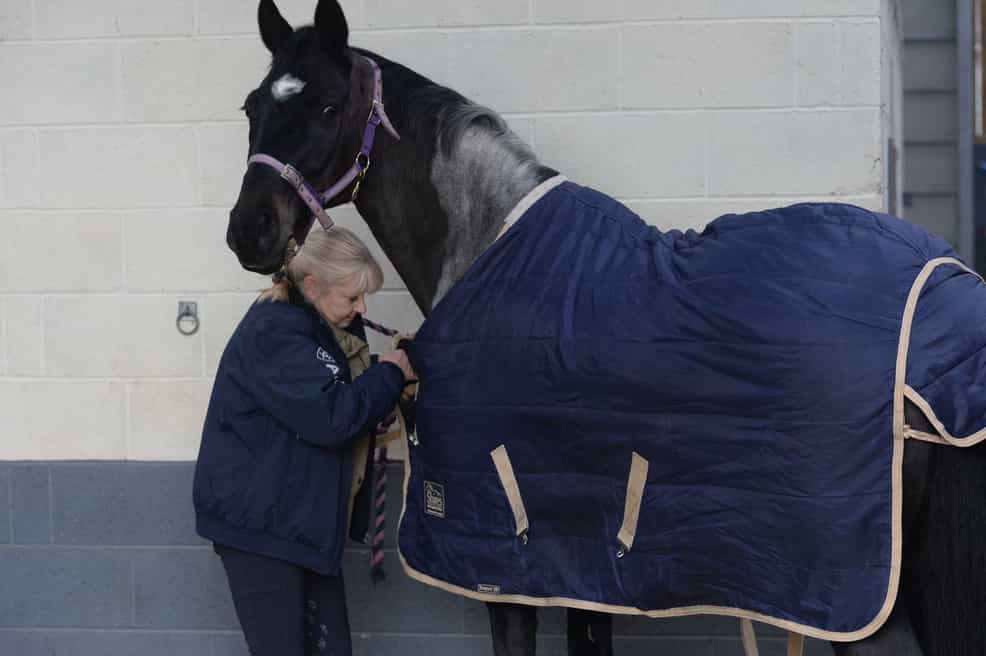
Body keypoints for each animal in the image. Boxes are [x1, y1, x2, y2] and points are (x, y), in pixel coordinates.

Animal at [224, 1, 986, 654]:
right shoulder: (581, 571)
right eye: (252, 106)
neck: (484, 243)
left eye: (327, 105)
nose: (248, 231)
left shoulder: (510, 569)